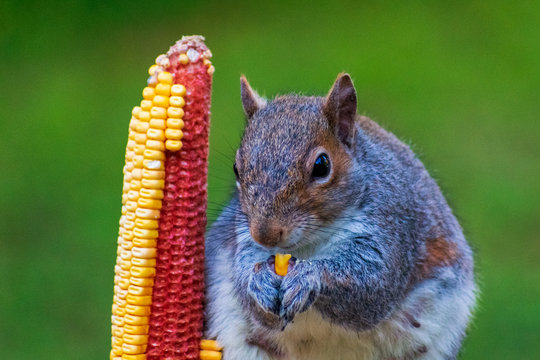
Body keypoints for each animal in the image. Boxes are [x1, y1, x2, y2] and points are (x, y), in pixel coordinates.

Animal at [204, 74, 476, 360]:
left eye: (322, 165)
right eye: (237, 168)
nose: (265, 234)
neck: (308, 245)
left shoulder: (392, 225)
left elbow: (373, 284)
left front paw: (309, 277)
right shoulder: (243, 238)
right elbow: (246, 279)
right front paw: (258, 283)